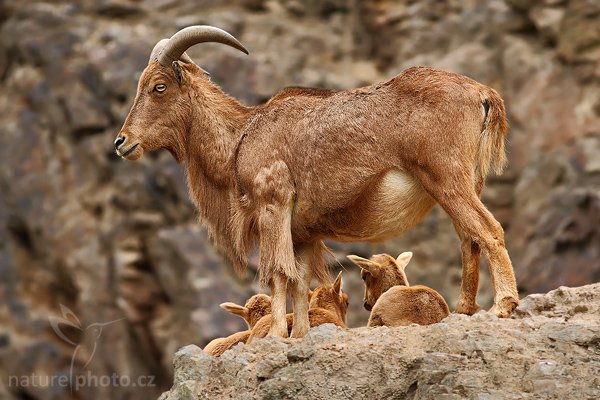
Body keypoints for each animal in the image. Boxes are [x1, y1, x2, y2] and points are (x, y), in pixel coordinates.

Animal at [115, 24, 516, 338]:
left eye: (159, 86)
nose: (122, 142)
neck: (243, 135)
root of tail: (483, 95)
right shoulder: (303, 232)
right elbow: (300, 279)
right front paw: (301, 334)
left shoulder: (273, 206)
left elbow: (279, 273)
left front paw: (277, 333)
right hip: (465, 184)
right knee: (469, 239)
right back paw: (465, 309)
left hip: (447, 178)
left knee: (489, 230)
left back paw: (504, 305)